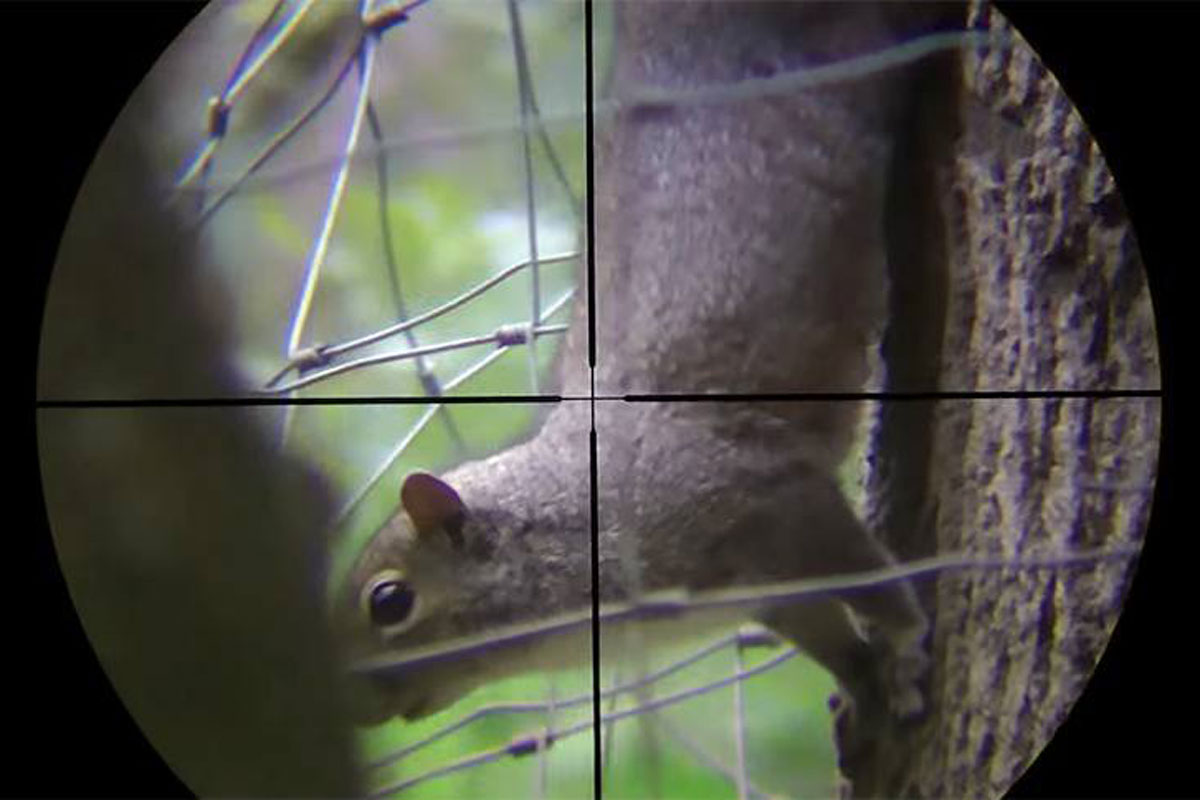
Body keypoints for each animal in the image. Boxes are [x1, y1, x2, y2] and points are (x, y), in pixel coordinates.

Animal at [331, 0, 941, 767]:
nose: (346, 711)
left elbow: (872, 580)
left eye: (389, 603)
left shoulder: (773, 502)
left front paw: (904, 647)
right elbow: (827, 637)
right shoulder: (762, 593)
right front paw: (863, 691)